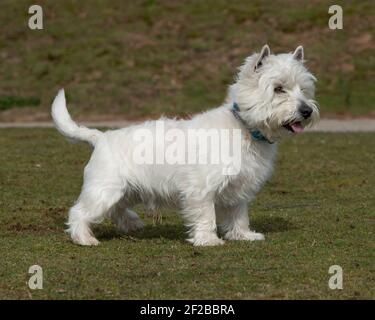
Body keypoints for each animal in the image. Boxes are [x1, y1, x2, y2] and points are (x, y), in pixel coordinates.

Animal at [50, 45, 320, 246]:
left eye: (304, 89)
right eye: (278, 89)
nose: (306, 111)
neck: (245, 128)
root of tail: (100, 137)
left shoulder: (238, 189)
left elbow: (239, 214)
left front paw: (243, 235)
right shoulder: (202, 189)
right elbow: (206, 214)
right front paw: (208, 240)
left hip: (128, 190)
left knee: (116, 210)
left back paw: (132, 223)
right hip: (105, 189)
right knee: (80, 211)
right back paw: (84, 238)